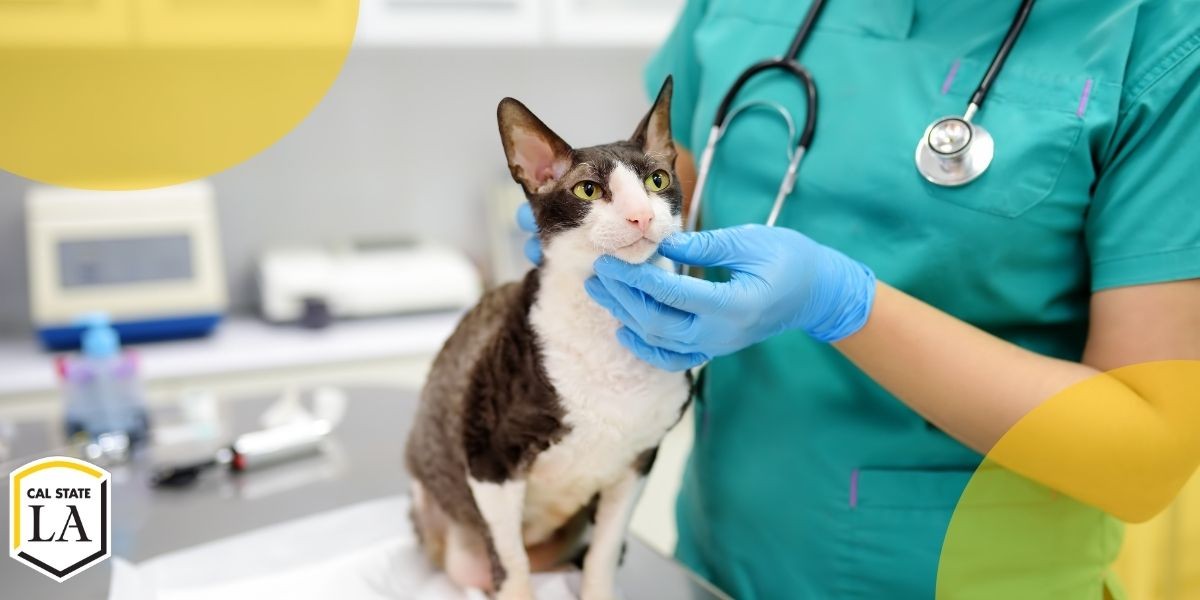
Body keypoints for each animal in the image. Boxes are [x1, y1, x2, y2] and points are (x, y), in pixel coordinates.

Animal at [403, 76, 691, 600]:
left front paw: (598, 590)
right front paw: (517, 586)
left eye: (657, 181)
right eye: (588, 190)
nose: (641, 216)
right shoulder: (489, 460)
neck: (607, 329)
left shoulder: (638, 461)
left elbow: (604, 552)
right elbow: (511, 563)